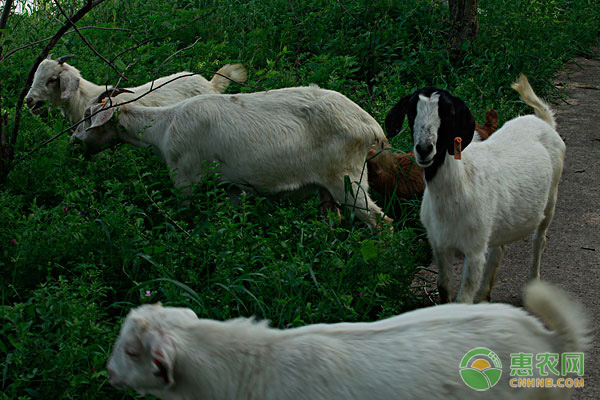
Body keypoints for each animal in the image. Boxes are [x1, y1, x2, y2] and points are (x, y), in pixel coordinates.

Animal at [71, 85, 390, 228]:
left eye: (88, 115)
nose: (73, 142)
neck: (163, 126)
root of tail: (371, 125)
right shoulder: (232, 187)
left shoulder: (183, 178)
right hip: (329, 187)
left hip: (347, 177)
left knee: (380, 220)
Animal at [386, 74, 564, 304]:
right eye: (410, 112)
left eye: (449, 113)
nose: (424, 149)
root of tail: (543, 121)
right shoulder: (440, 246)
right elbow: (444, 288)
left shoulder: (474, 251)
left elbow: (463, 299)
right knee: (499, 247)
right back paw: (484, 295)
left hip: (551, 197)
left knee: (539, 240)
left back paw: (533, 284)